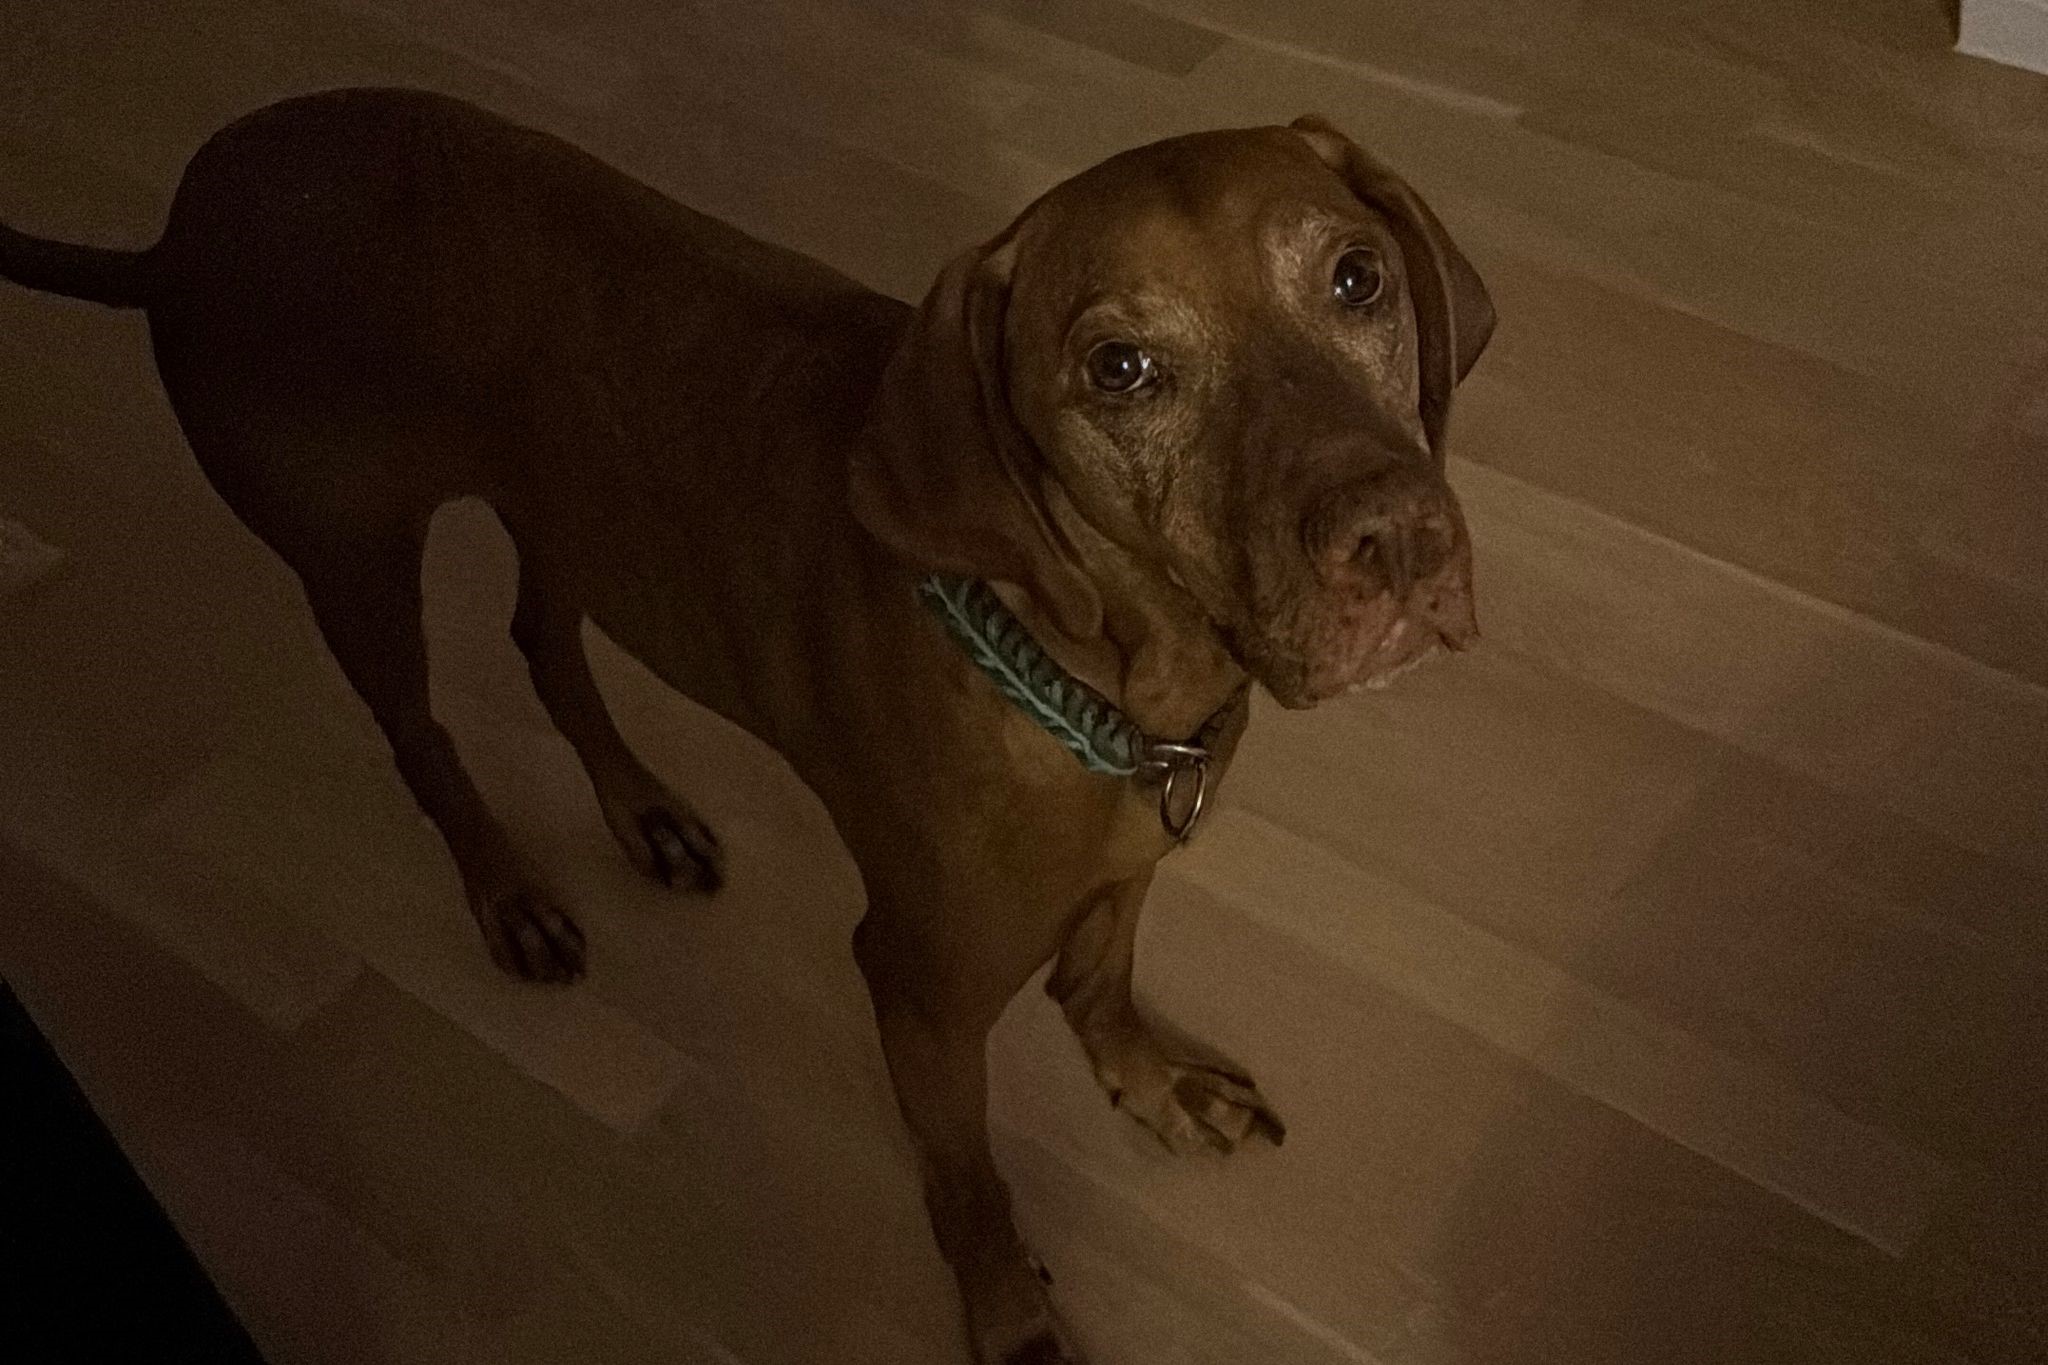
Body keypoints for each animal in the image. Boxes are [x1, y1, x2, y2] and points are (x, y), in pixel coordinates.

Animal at [1, 87, 1492, 1363]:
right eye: (1120, 368)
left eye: (1355, 278)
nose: (1397, 541)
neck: (1104, 686)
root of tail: (180, 226)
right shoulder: (917, 989)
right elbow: (968, 1179)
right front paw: (1009, 1312)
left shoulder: (1127, 867)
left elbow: (1100, 979)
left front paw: (1150, 1077)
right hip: (349, 559)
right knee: (423, 741)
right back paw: (510, 894)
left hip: (569, 511)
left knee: (543, 645)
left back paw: (642, 812)